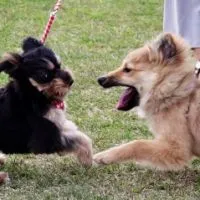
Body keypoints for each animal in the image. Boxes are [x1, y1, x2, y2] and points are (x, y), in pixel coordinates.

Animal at [0, 37, 92, 170]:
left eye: (60, 64)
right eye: (44, 75)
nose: (70, 80)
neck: (35, 96)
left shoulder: (57, 125)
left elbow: (74, 132)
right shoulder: (46, 137)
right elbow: (79, 139)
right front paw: (88, 159)